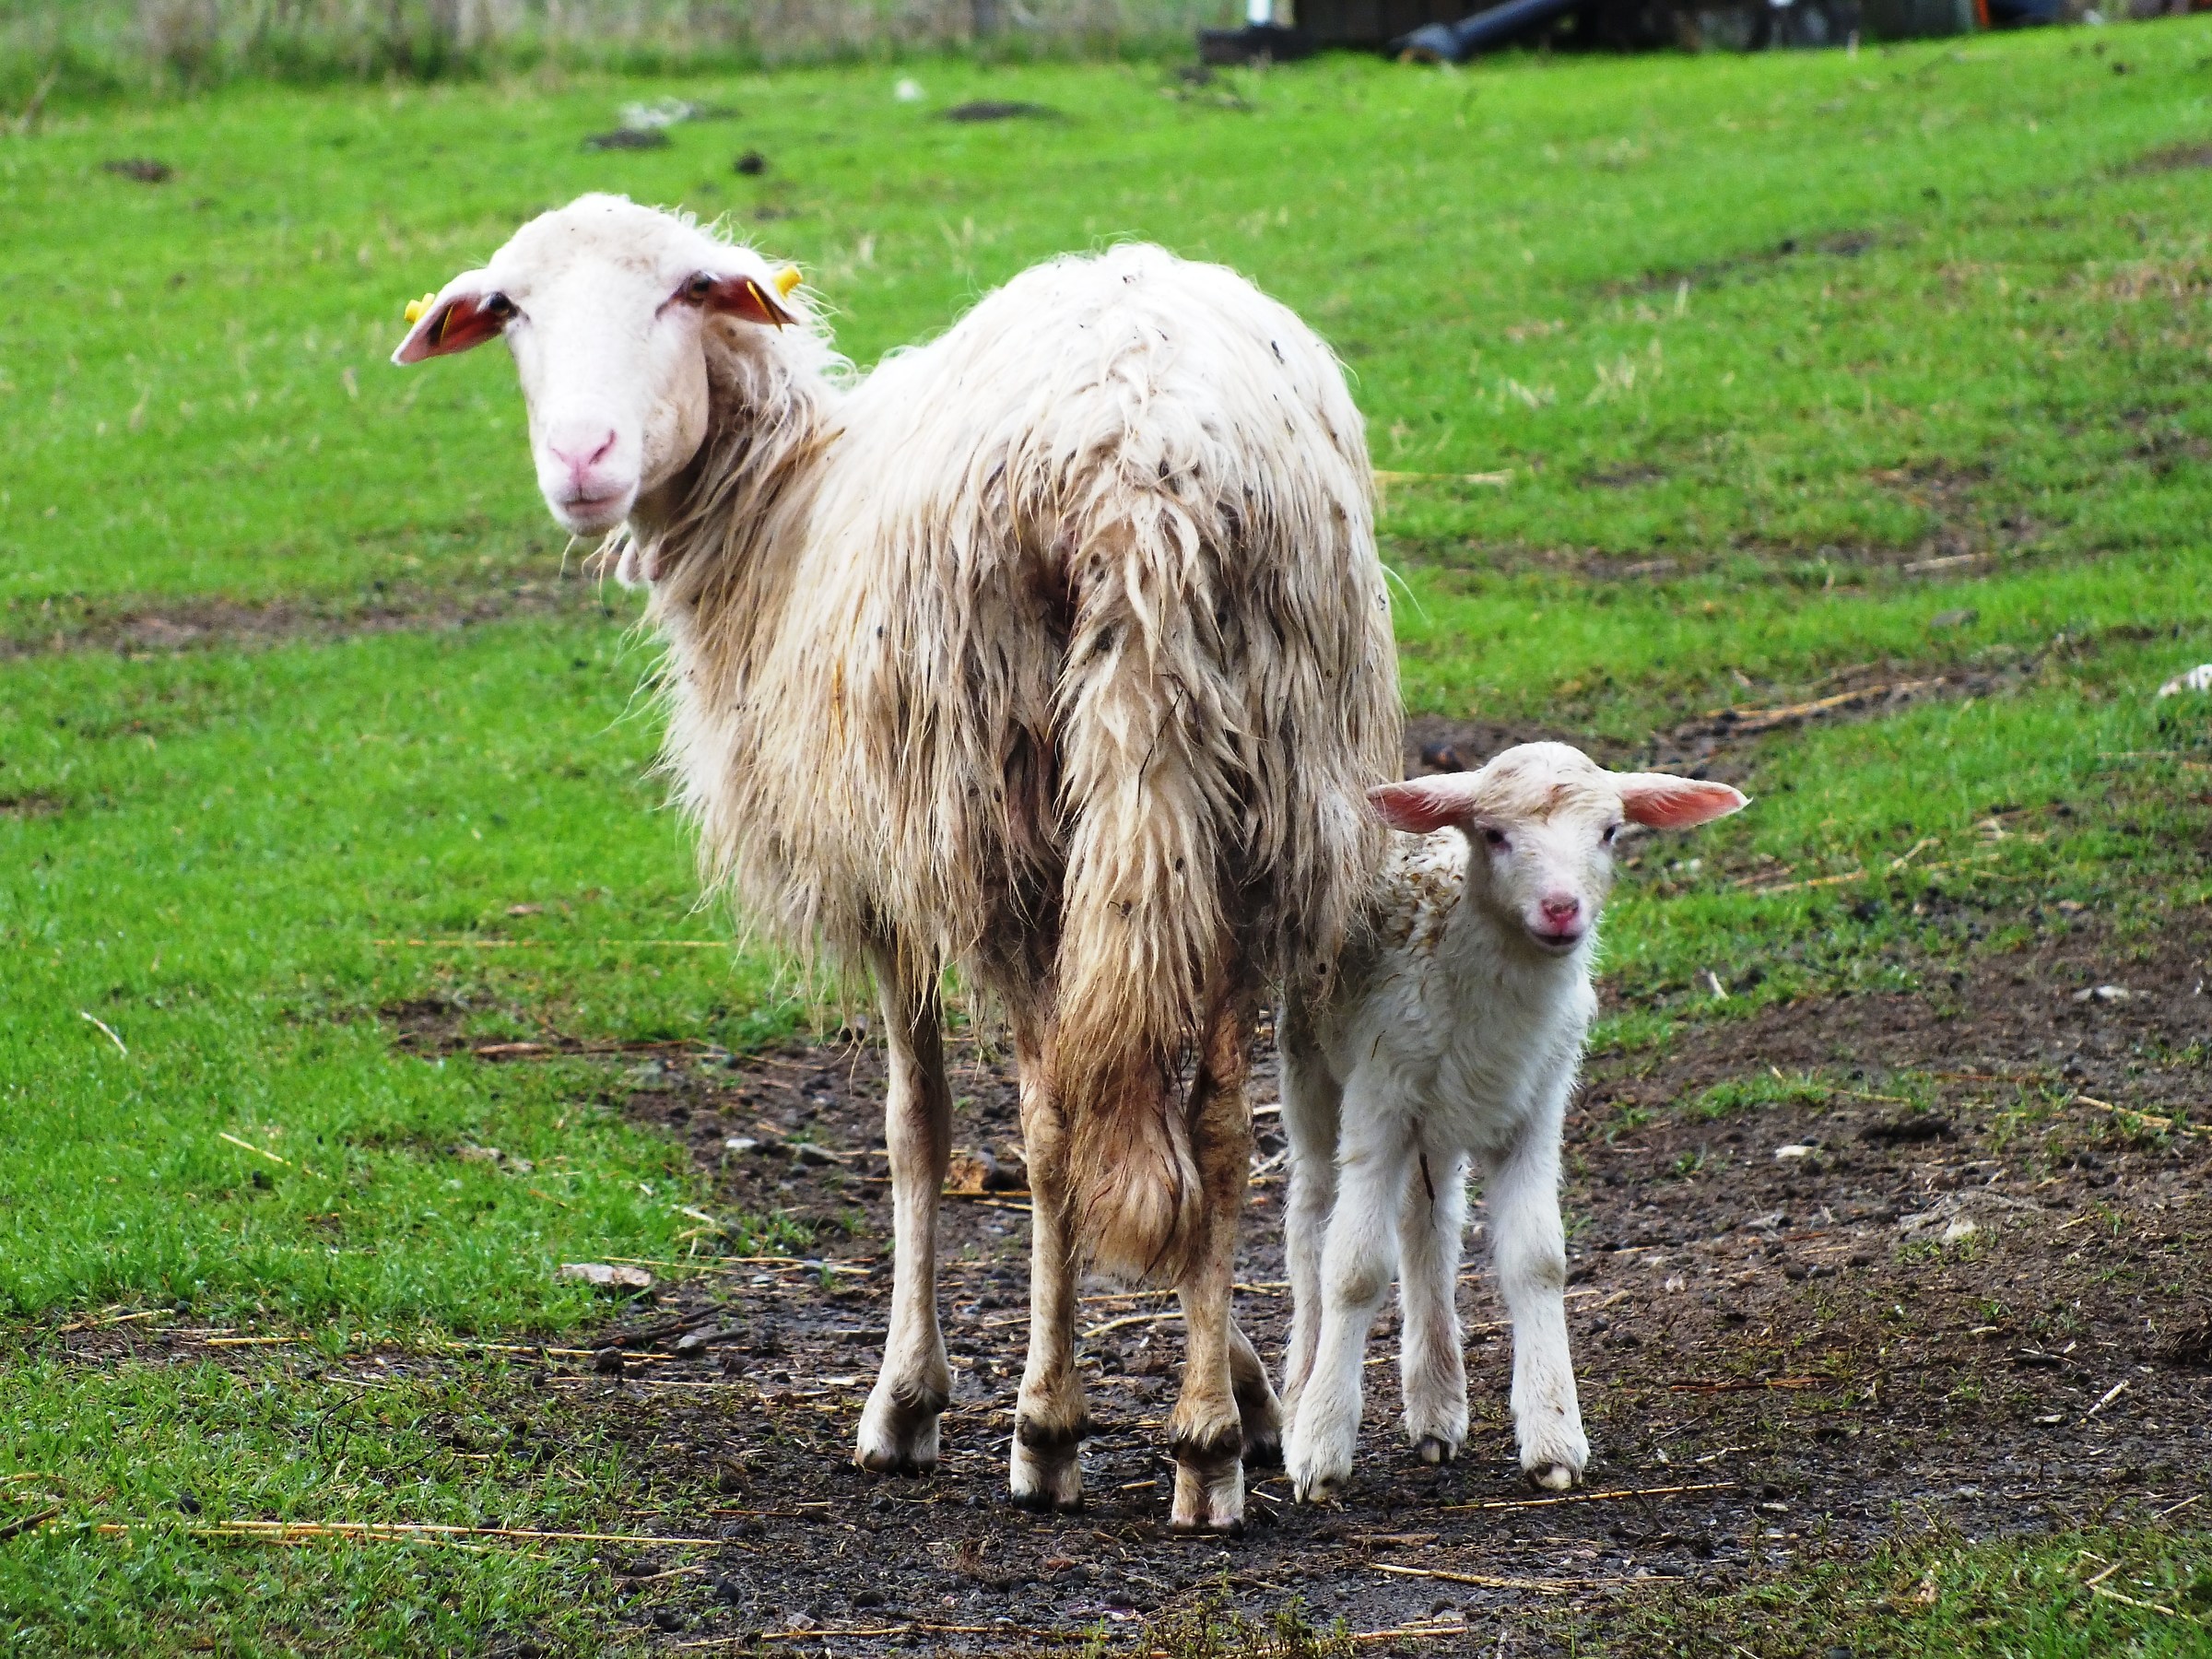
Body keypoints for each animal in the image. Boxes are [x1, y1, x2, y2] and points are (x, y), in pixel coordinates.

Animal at [392, 194, 1401, 1532]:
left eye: (681, 294)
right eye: (511, 309)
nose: (581, 458)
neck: (779, 520)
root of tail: (1143, 468)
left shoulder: (883, 874)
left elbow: (914, 1126)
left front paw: (908, 1402)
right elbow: (1160, 1155)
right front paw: (1244, 1376)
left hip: (1001, 818)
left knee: (1050, 1128)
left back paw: (1048, 1429)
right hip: (1260, 802)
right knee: (1222, 1124)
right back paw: (1204, 1446)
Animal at [1276, 742, 1745, 1501]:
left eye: (1610, 832)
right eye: (1494, 834)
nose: (1561, 909)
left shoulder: (1537, 1105)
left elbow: (1538, 1260)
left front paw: (1554, 1438)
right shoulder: (1379, 1100)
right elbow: (1354, 1270)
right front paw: (1321, 1448)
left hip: (1441, 1118)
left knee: (1429, 1227)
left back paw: (1436, 1408)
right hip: (1310, 1061)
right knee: (1311, 1222)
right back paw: (1298, 1401)